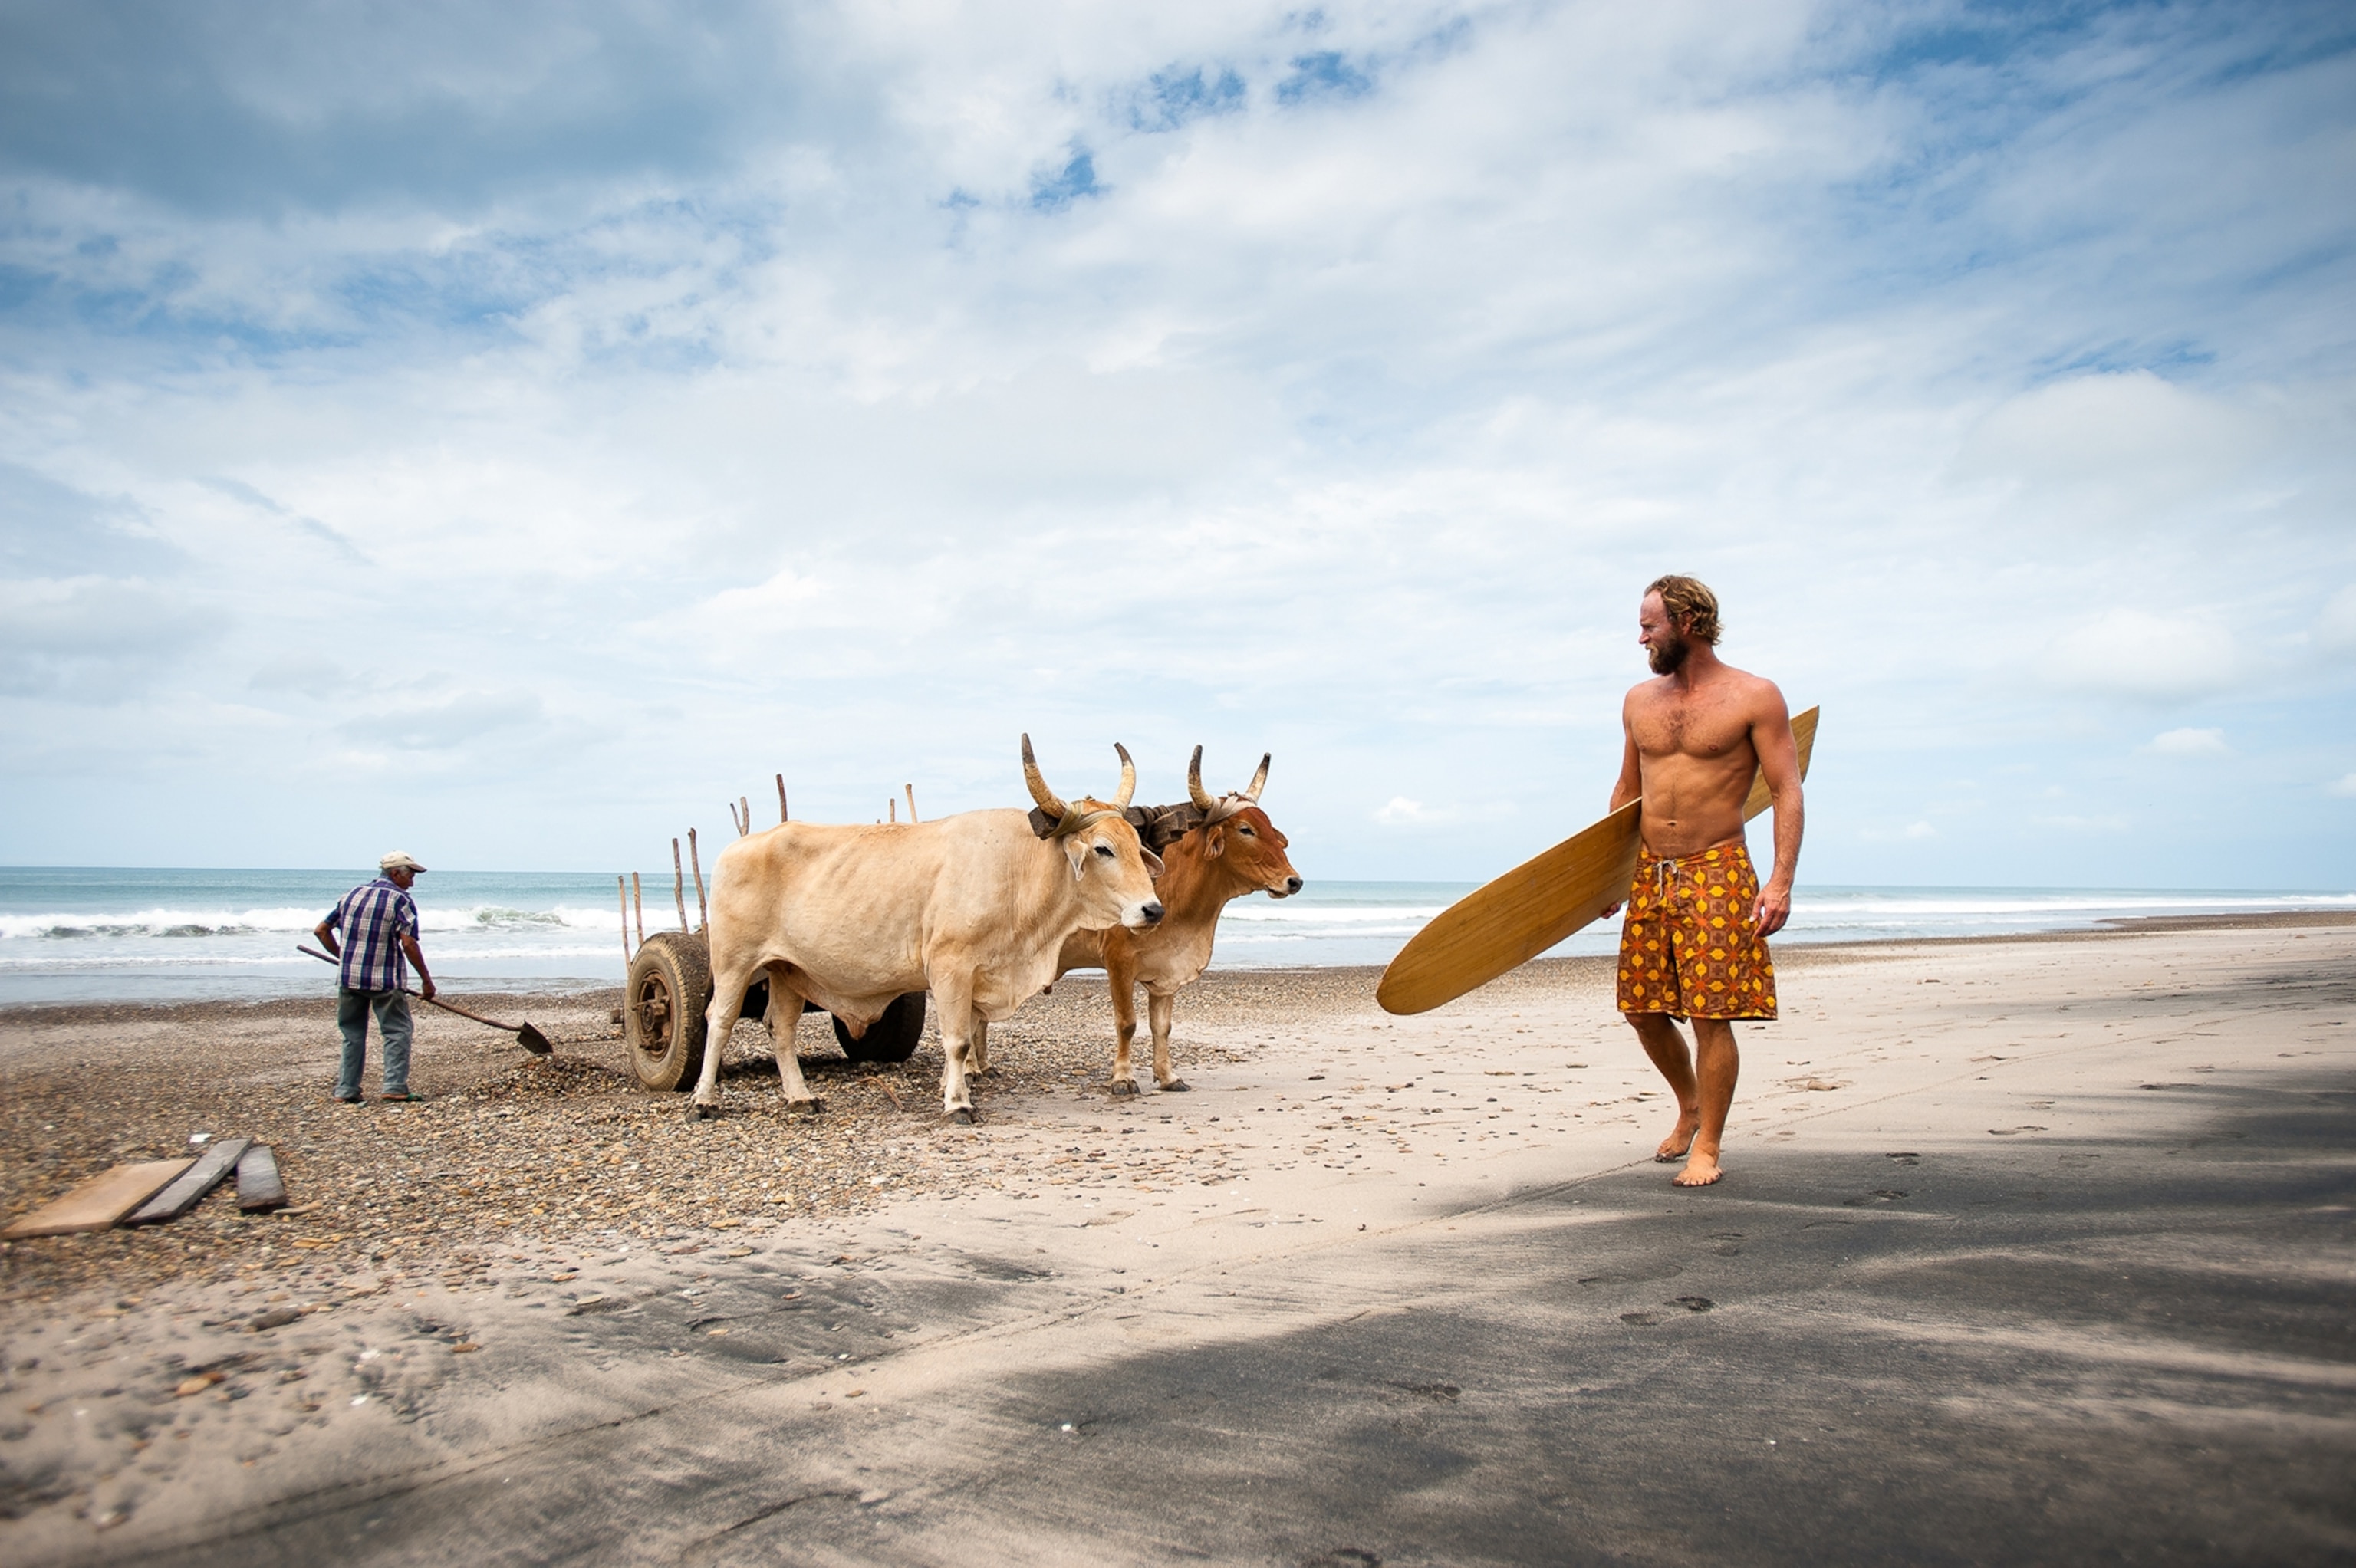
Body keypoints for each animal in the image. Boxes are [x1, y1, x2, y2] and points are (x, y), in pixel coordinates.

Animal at [694, 737, 1166, 1123]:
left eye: (1134, 844)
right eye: (1103, 849)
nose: (1153, 909)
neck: (1017, 868)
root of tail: (738, 846)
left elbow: (968, 1036)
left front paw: (951, 1088)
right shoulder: (949, 968)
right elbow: (957, 1040)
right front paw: (957, 1103)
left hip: (788, 970)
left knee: (782, 1029)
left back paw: (799, 1097)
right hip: (734, 962)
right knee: (720, 1020)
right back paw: (703, 1101)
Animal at [970, 747, 1301, 1095]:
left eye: (1269, 827)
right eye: (1246, 829)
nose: (1294, 881)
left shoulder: (1167, 971)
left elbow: (1162, 1027)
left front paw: (1168, 1076)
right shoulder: (1119, 962)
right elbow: (1127, 1023)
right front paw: (1123, 1078)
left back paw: (984, 1066)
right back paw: (971, 1069)